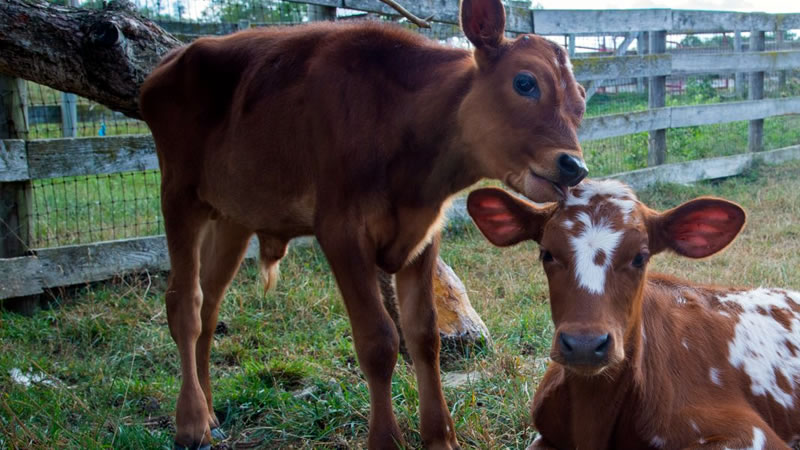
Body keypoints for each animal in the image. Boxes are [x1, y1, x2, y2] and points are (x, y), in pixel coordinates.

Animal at [139, 0, 588, 448]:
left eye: (581, 103)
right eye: (525, 82)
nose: (574, 166)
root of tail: (172, 60)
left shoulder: (424, 236)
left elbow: (424, 335)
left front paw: (440, 437)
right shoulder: (341, 231)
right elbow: (378, 340)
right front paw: (386, 439)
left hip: (233, 216)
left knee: (210, 306)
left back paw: (210, 411)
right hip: (178, 193)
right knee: (185, 305)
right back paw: (192, 423)